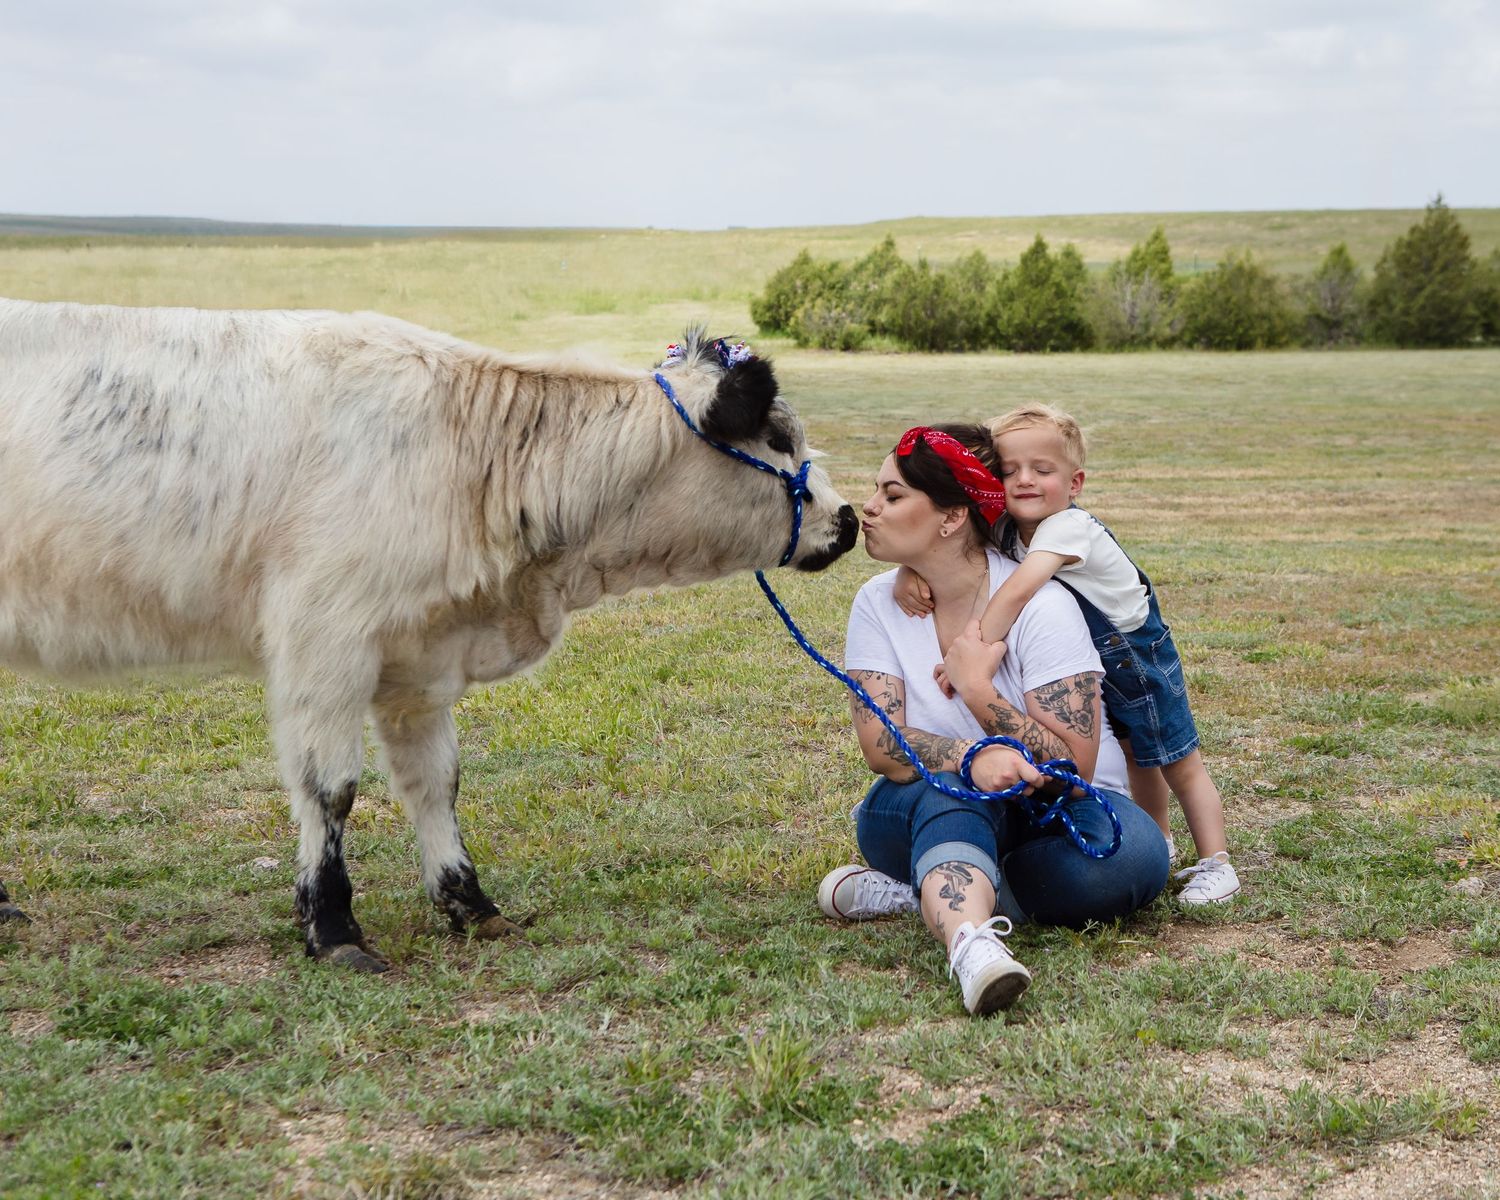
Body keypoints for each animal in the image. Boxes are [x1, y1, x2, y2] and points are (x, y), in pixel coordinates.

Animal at [0, 299, 858, 970]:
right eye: (778, 437)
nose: (847, 520)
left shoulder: (416, 663)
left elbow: (435, 781)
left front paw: (468, 903)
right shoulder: (324, 641)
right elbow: (331, 789)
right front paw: (333, 927)